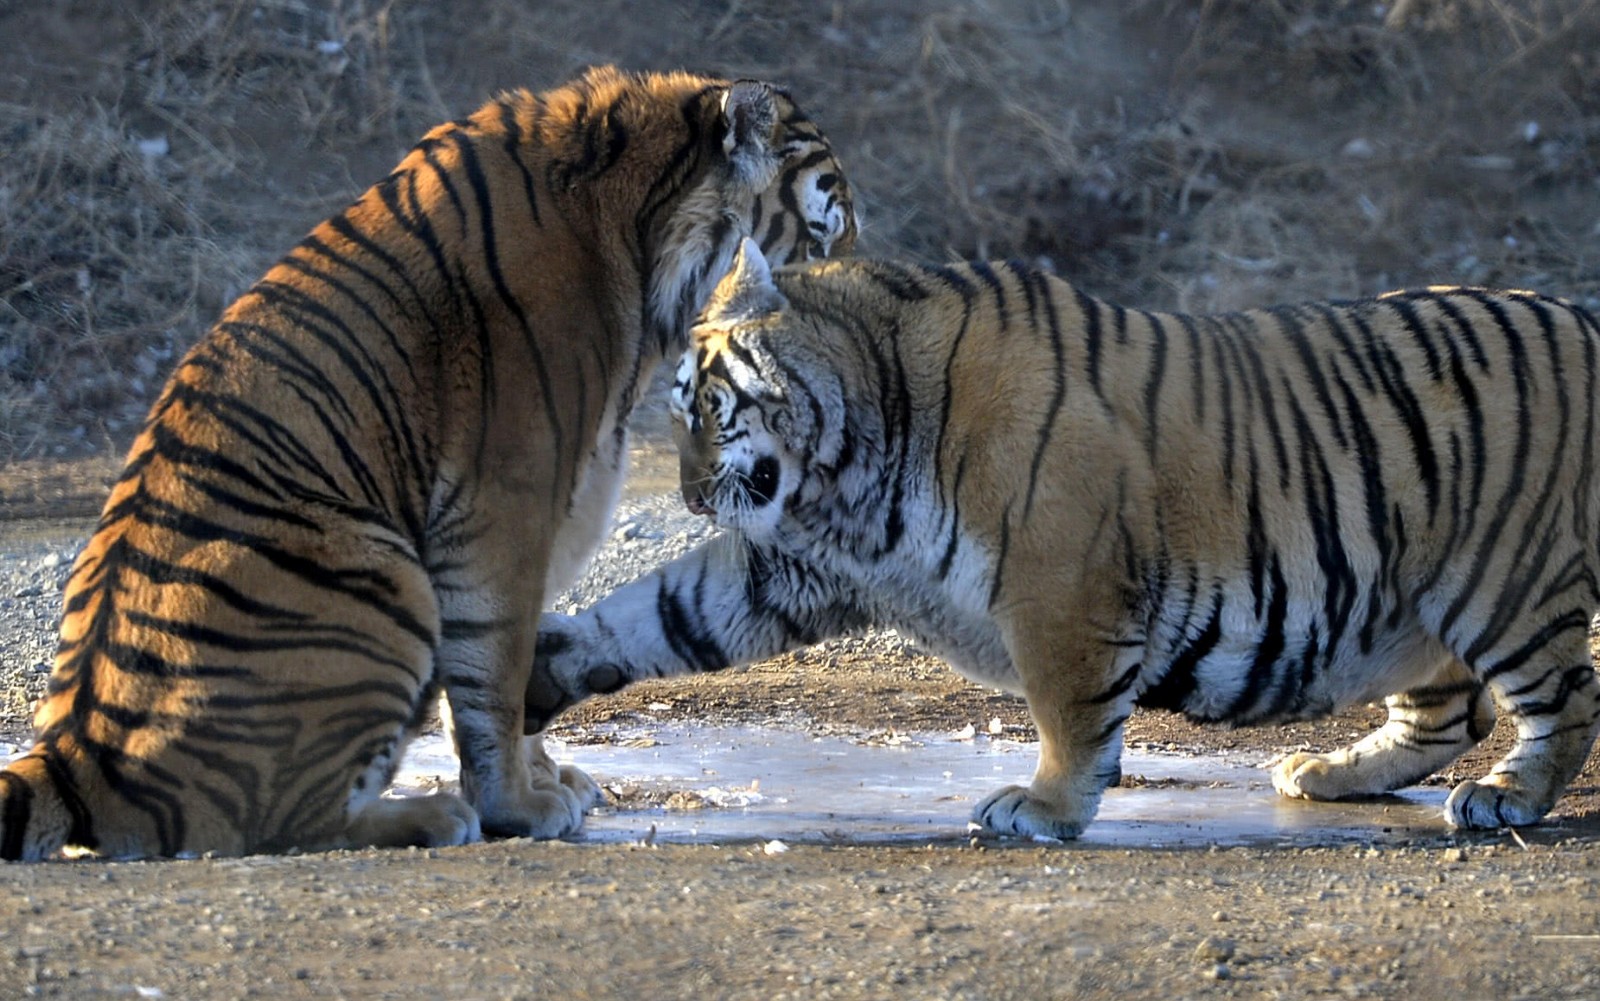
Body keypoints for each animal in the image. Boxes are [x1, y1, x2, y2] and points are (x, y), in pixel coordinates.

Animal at [0, 68, 857, 857]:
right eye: (828, 231)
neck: (638, 235)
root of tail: (73, 751)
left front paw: (550, 779)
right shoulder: (507, 508)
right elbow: (496, 667)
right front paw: (518, 804)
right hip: (381, 575)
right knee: (279, 822)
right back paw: (429, 815)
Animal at [531, 238, 1600, 837]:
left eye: (707, 408)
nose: (688, 496)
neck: (848, 461)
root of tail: (1581, 315)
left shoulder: (1060, 586)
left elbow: (1069, 715)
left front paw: (1043, 809)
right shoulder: (793, 568)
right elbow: (658, 613)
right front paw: (543, 665)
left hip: (1503, 581)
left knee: (1563, 702)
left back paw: (1507, 797)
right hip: (1408, 596)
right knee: (1448, 712)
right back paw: (1330, 772)